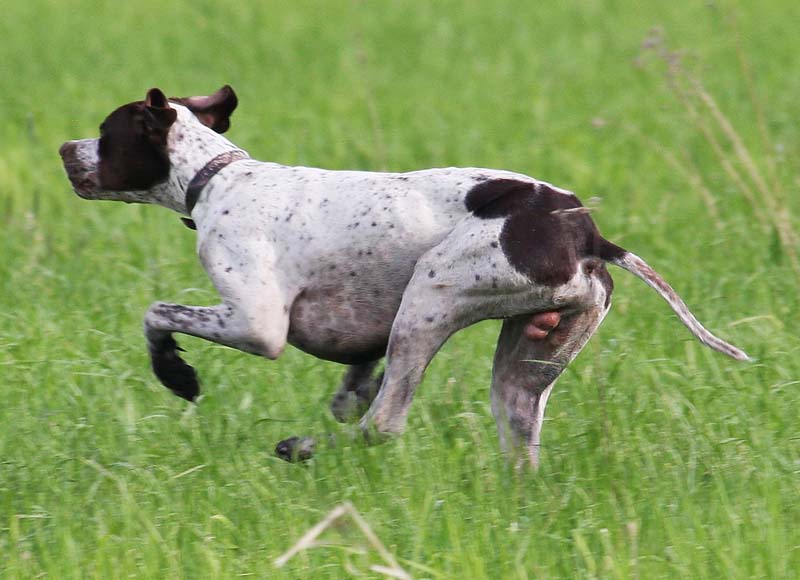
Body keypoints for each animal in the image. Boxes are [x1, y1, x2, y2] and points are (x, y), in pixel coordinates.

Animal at [57, 86, 752, 466]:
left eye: (105, 132)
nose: (64, 149)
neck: (218, 177)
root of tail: (586, 235)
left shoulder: (256, 324)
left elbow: (155, 314)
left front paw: (176, 374)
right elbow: (355, 377)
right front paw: (349, 388)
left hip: (429, 296)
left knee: (384, 425)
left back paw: (301, 448)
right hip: (523, 375)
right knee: (508, 443)